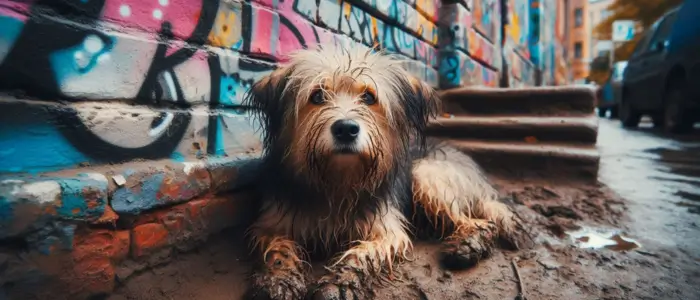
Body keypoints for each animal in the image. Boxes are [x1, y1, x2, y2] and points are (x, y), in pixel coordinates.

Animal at [242, 42, 520, 300]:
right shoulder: (272, 223)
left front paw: (338, 285)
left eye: (368, 97)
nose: (346, 129)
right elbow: (278, 250)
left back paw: (468, 246)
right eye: (318, 96)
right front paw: (279, 280)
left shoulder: (386, 230)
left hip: (427, 175)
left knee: (480, 223)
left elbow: (362, 255)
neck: (338, 181)